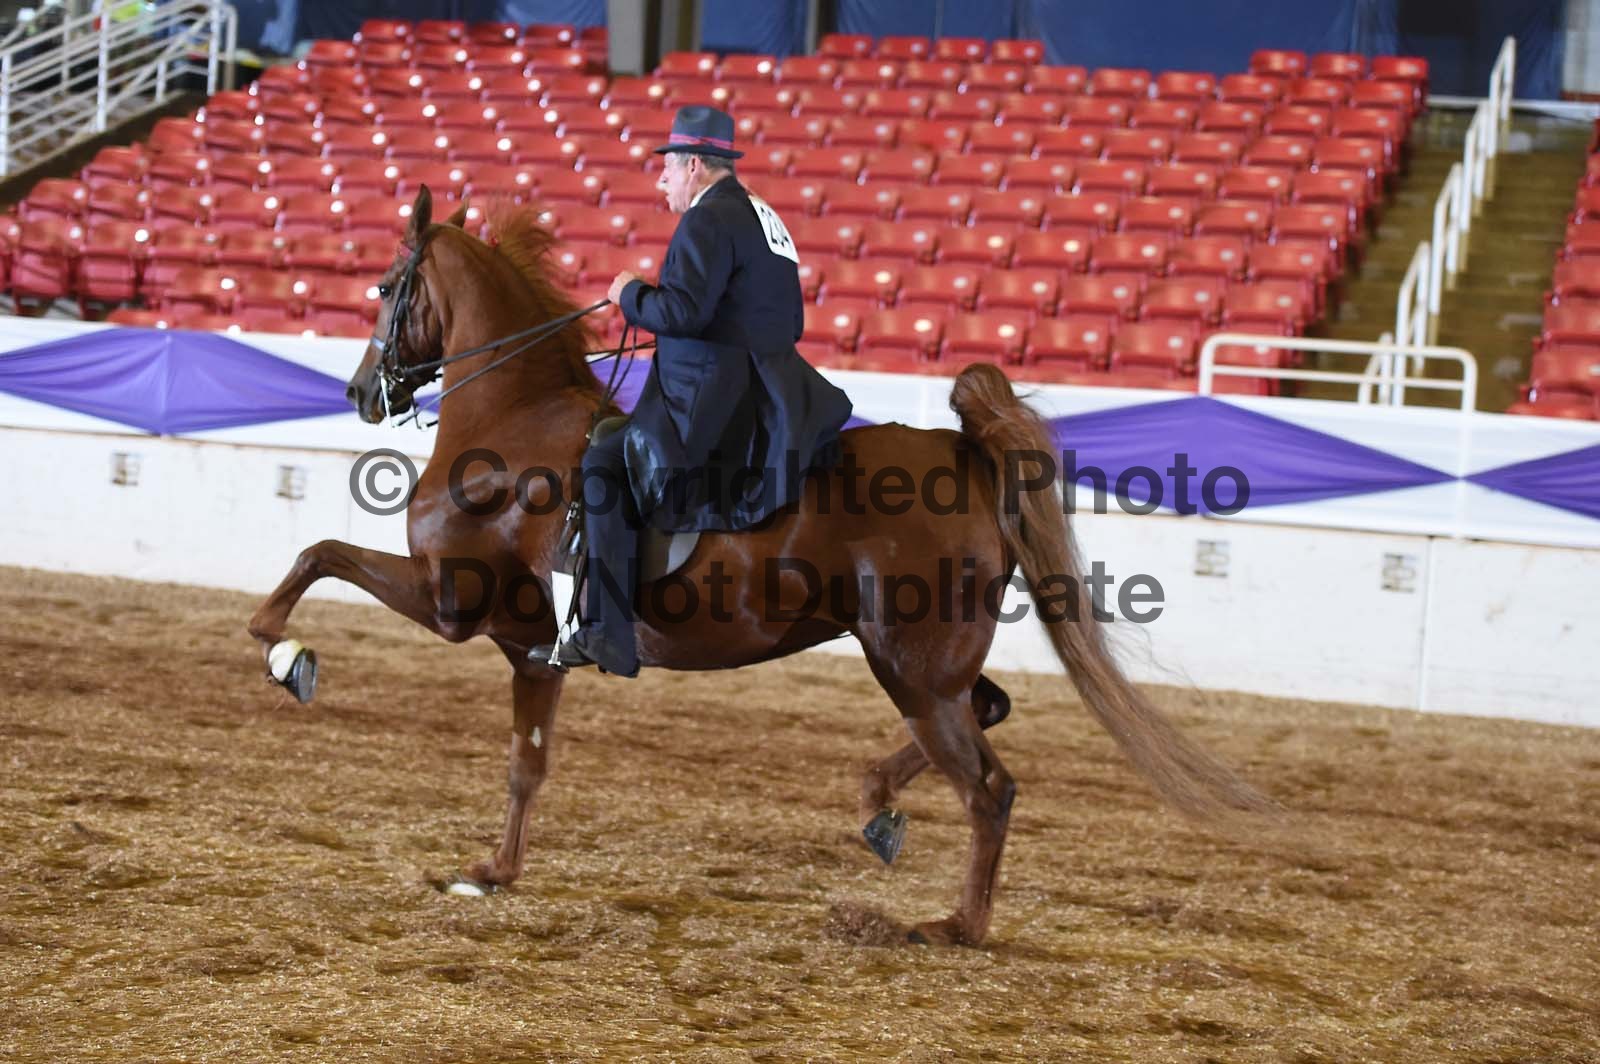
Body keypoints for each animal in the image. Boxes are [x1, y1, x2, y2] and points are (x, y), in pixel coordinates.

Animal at [247, 186, 1275, 946]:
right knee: (989, 715)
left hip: (908, 665)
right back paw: (878, 807)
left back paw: (954, 924)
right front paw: (492, 873)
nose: (360, 392)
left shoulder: (453, 602)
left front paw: (282, 650)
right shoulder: (529, 645)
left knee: (989, 787)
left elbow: (318, 552)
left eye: (388, 286)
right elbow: (525, 764)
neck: (510, 418)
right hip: (929, 665)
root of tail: (958, 452)